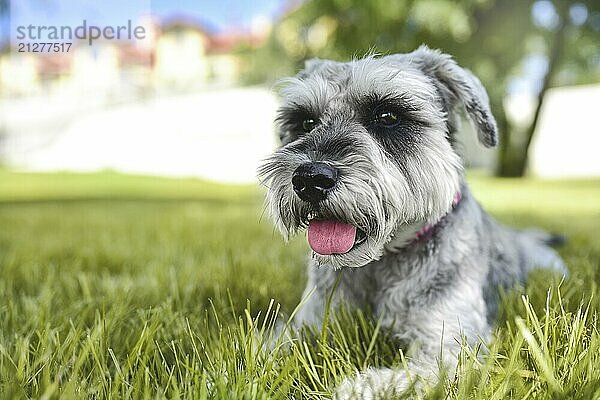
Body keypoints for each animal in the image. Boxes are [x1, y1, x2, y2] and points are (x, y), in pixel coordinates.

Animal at [258, 45, 568, 398]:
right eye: (305, 121)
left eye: (388, 116)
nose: (310, 179)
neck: (380, 264)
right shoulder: (309, 323)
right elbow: (265, 350)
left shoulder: (451, 350)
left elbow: (395, 381)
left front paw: (351, 388)